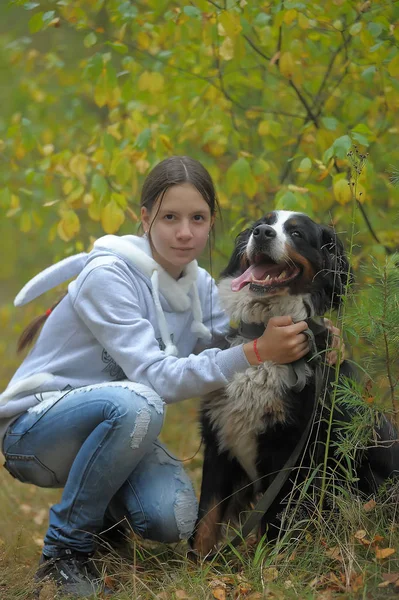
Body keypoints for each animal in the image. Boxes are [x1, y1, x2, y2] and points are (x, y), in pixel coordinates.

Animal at [192, 211, 398, 556]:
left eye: (297, 233)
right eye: (261, 224)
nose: (262, 233)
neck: (266, 337)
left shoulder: (289, 453)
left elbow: (273, 523)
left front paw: (268, 564)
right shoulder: (218, 441)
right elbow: (205, 520)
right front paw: (197, 566)